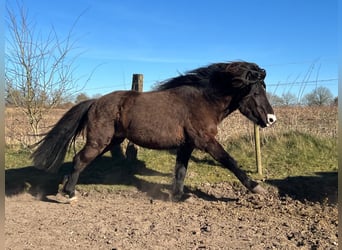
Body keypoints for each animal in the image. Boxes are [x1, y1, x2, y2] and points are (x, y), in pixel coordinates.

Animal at [32, 61, 276, 202]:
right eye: (255, 92)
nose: (271, 119)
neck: (203, 101)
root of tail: (95, 102)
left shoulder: (187, 145)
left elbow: (180, 170)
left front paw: (178, 196)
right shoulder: (206, 141)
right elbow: (230, 161)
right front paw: (256, 188)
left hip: (112, 141)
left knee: (80, 161)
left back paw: (64, 187)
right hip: (99, 141)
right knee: (79, 159)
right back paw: (70, 193)